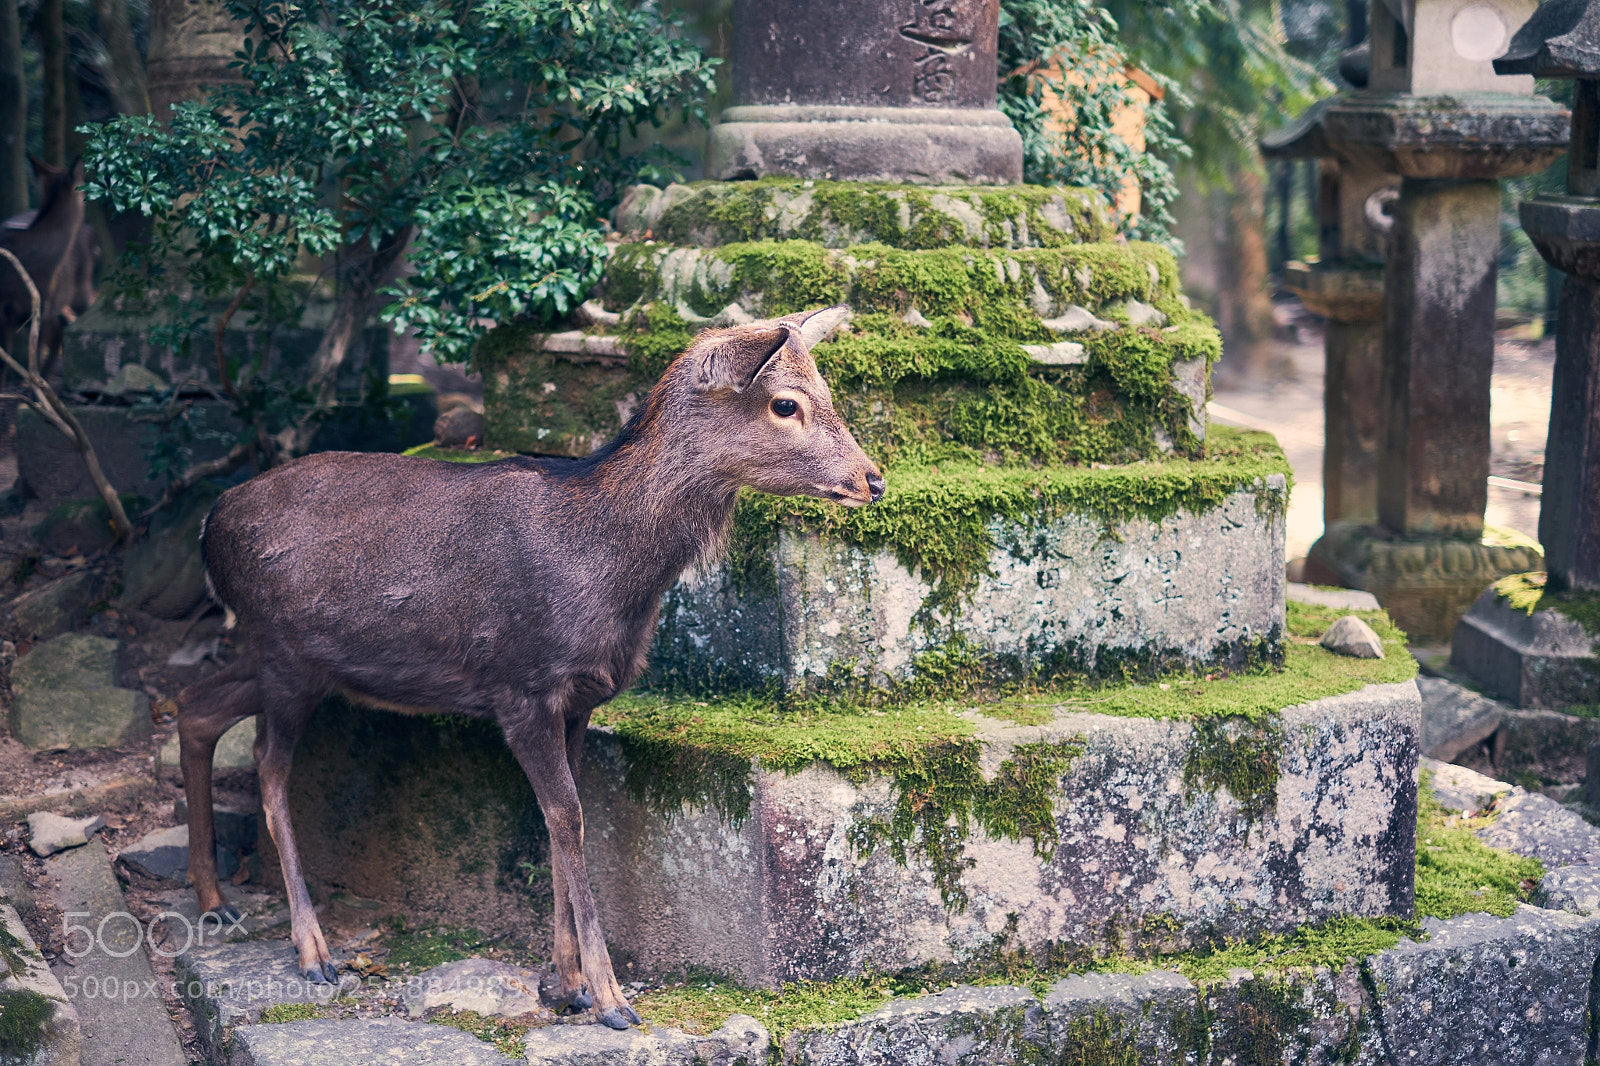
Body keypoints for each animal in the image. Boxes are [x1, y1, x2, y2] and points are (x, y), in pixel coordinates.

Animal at [175, 304, 881, 1030]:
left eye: (828, 393)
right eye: (785, 403)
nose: (873, 478)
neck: (609, 572)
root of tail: (207, 526)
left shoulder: (581, 698)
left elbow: (558, 817)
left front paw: (564, 983)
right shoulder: (523, 689)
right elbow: (569, 818)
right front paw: (609, 997)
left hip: (288, 660)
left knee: (194, 704)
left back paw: (214, 899)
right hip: (284, 655)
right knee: (267, 765)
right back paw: (311, 947)